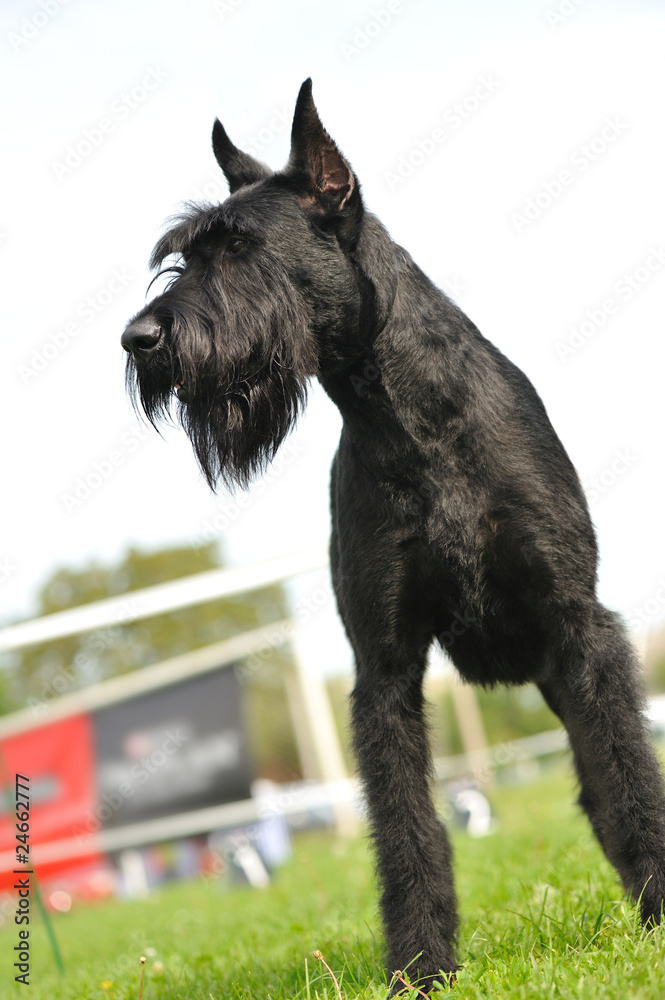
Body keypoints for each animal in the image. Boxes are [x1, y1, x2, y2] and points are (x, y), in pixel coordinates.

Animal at [122, 80, 664, 992]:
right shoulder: (384, 669)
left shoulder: (579, 627)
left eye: (239, 248)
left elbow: (629, 775)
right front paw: (419, 967)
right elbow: (407, 830)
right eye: (183, 256)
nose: (139, 338)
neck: (406, 415)